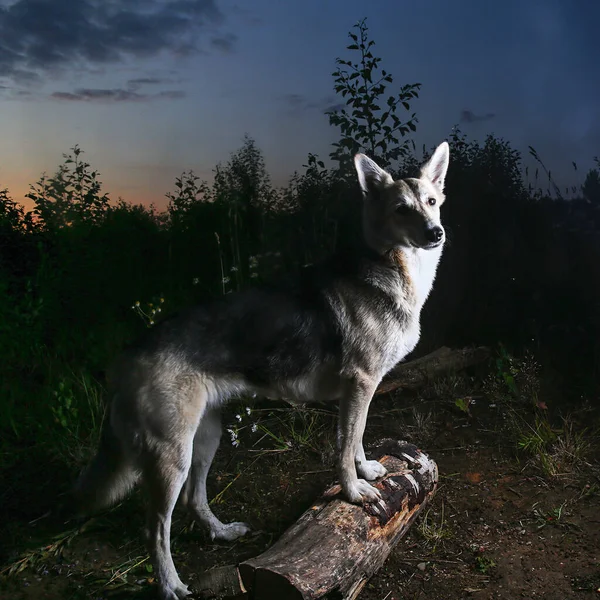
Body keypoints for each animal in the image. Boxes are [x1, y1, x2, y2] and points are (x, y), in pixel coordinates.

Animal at [71, 142, 450, 600]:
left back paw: (222, 533)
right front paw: (354, 492)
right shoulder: (360, 384)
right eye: (401, 209)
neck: (392, 270)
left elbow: (356, 439)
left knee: (194, 501)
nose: (435, 233)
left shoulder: (359, 391)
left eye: (431, 202)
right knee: (155, 529)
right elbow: (345, 447)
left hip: (206, 439)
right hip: (172, 458)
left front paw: (366, 472)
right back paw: (171, 585)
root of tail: (127, 354)